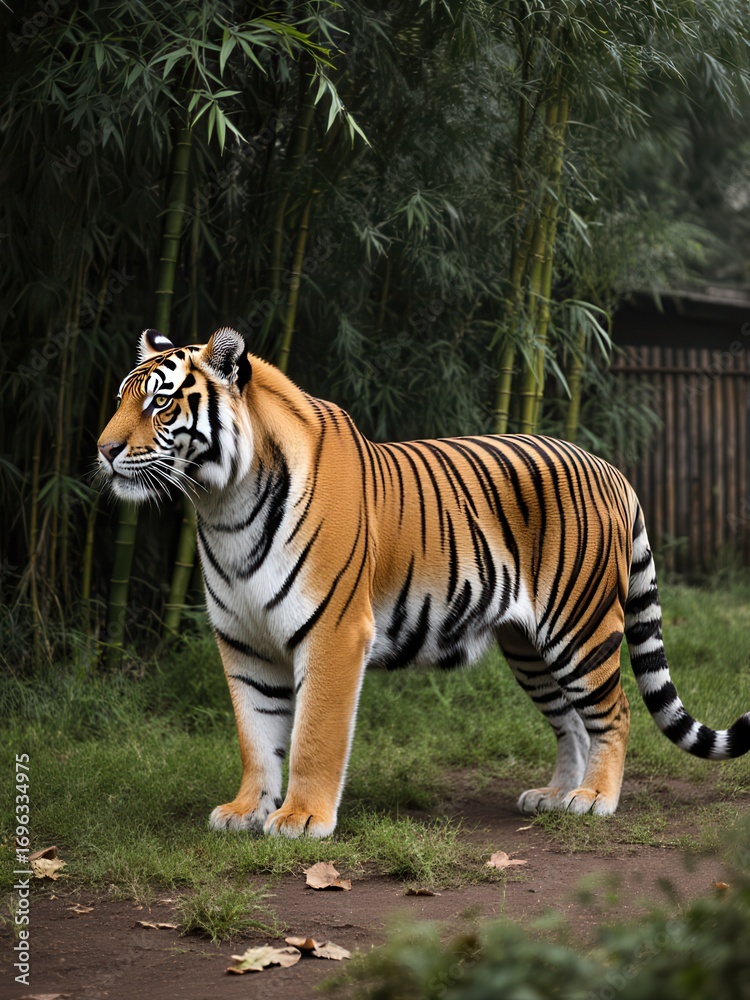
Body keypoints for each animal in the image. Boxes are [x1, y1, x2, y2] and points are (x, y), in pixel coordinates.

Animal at [97, 326, 750, 838]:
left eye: (160, 406)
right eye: (122, 399)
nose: (102, 450)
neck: (223, 503)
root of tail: (611, 468)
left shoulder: (333, 633)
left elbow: (313, 734)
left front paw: (302, 819)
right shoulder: (243, 641)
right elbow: (255, 735)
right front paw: (244, 811)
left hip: (579, 627)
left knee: (612, 712)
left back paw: (594, 800)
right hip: (530, 646)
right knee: (570, 721)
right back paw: (555, 796)